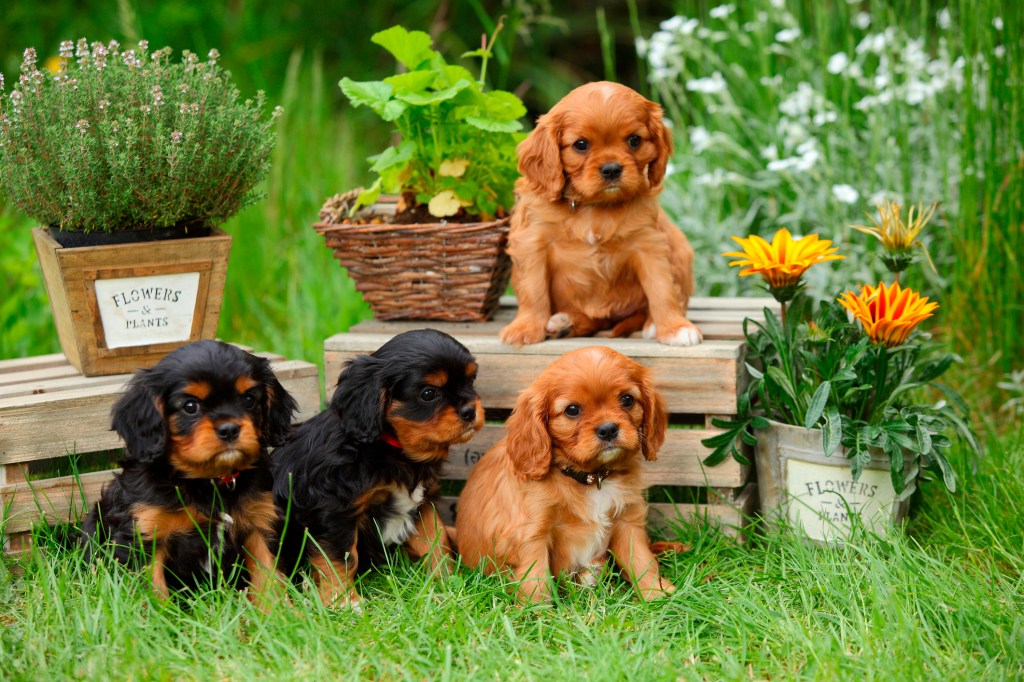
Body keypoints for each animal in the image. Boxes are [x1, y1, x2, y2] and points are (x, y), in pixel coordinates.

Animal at [270, 327, 481, 606]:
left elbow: (436, 541)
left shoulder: (424, 504)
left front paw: (445, 583)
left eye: (471, 381)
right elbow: (339, 559)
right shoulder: (333, 512)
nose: (470, 410)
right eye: (428, 394)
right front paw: (346, 602)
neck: (392, 449)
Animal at [456, 346, 671, 602]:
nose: (608, 429)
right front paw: (536, 610)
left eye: (627, 399)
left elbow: (641, 560)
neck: (592, 479)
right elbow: (536, 578)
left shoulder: (628, 522)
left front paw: (658, 594)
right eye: (572, 410)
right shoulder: (532, 534)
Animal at [497, 80, 704, 346]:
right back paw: (565, 323)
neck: (593, 206)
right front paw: (525, 328)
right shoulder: (533, 242)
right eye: (581, 144)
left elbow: (662, 288)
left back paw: (649, 324)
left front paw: (675, 327)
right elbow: (533, 289)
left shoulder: (649, 243)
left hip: (681, 248)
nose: (612, 169)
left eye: (634, 140)